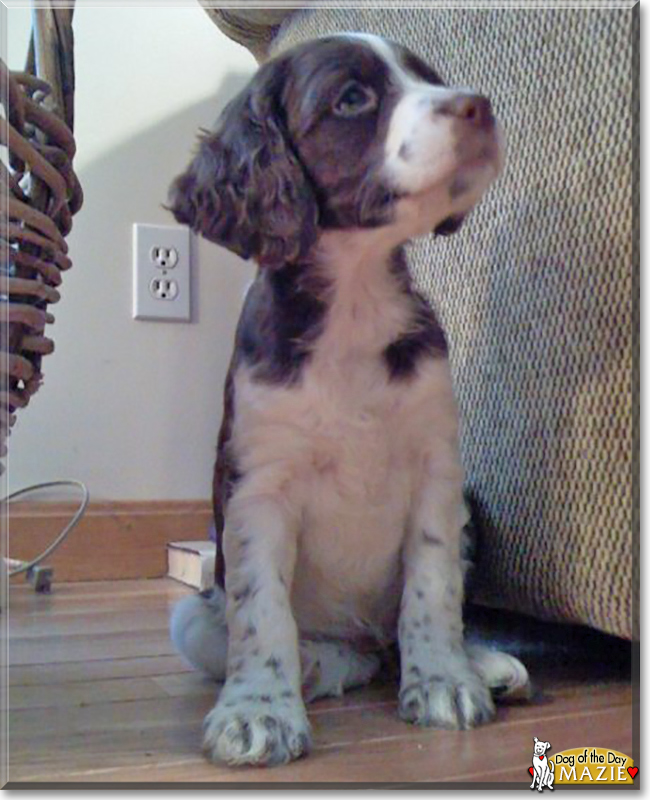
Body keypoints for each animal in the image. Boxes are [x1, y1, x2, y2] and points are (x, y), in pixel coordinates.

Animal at [166, 32, 520, 768]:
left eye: (429, 77)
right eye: (352, 99)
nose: (478, 105)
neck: (355, 302)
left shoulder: (438, 470)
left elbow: (433, 588)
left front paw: (444, 680)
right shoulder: (258, 487)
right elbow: (262, 612)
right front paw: (259, 713)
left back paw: (482, 663)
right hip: (192, 613)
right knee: (303, 648)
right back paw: (320, 664)